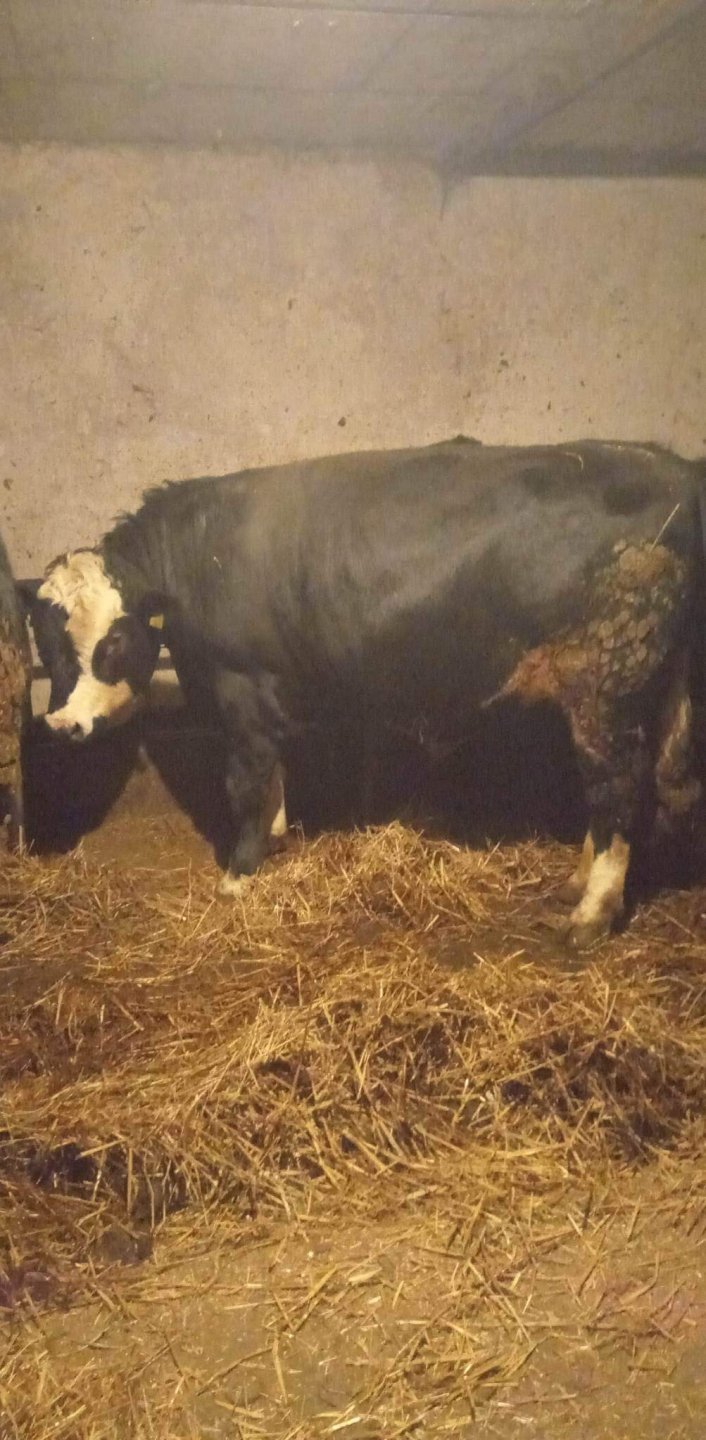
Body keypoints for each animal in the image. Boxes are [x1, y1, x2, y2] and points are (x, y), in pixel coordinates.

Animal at [24, 438, 706, 948]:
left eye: (113, 642)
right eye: (46, 643)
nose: (61, 726)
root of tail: (670, 464)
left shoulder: (239, 687)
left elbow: (245, 781)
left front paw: (239, 875)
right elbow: (274, 774)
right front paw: (275, 838)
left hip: (608, 685)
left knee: (616, 790)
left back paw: (590, 912)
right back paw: (577, 882)